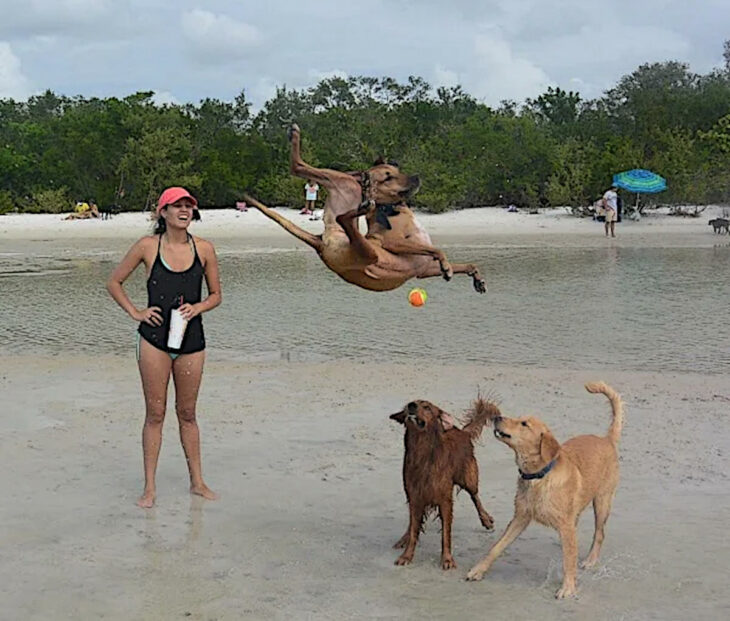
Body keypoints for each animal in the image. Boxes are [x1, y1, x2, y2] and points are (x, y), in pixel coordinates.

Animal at [242, 124, 486, 294]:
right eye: (388, 177)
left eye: (397, 170)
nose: (417, 177)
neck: (393, 209)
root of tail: (321, 241)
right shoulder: (391, 243)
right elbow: (437, 249)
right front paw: (446, 265)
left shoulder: (423, 270)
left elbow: (464, 263)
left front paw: (475, 276)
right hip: (351, 198)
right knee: (317, 186)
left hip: (357, 230)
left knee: (341, 214)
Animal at [390, 398, 498, 568]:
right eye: (409, 404)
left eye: (427, 407)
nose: (411, 406)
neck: (422, 454)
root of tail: (462, 431)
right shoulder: (415, 496)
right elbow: (414, 529)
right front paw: (406, 555)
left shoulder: (445, 500)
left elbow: (446, 534)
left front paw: (447, 559)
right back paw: (404, 538)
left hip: (468, 477)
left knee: (475, 496)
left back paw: (486, 520)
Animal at [466, 380, 620, 600]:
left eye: (524, 424)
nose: (496, 417)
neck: (538, 477)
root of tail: (607, 439)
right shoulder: (520, 517)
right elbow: (497, 546)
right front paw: (478, 570)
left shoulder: (564, 524)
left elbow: (569, 561)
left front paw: (568, 587)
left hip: (602, 501)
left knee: (599, 534)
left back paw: (590, 560)